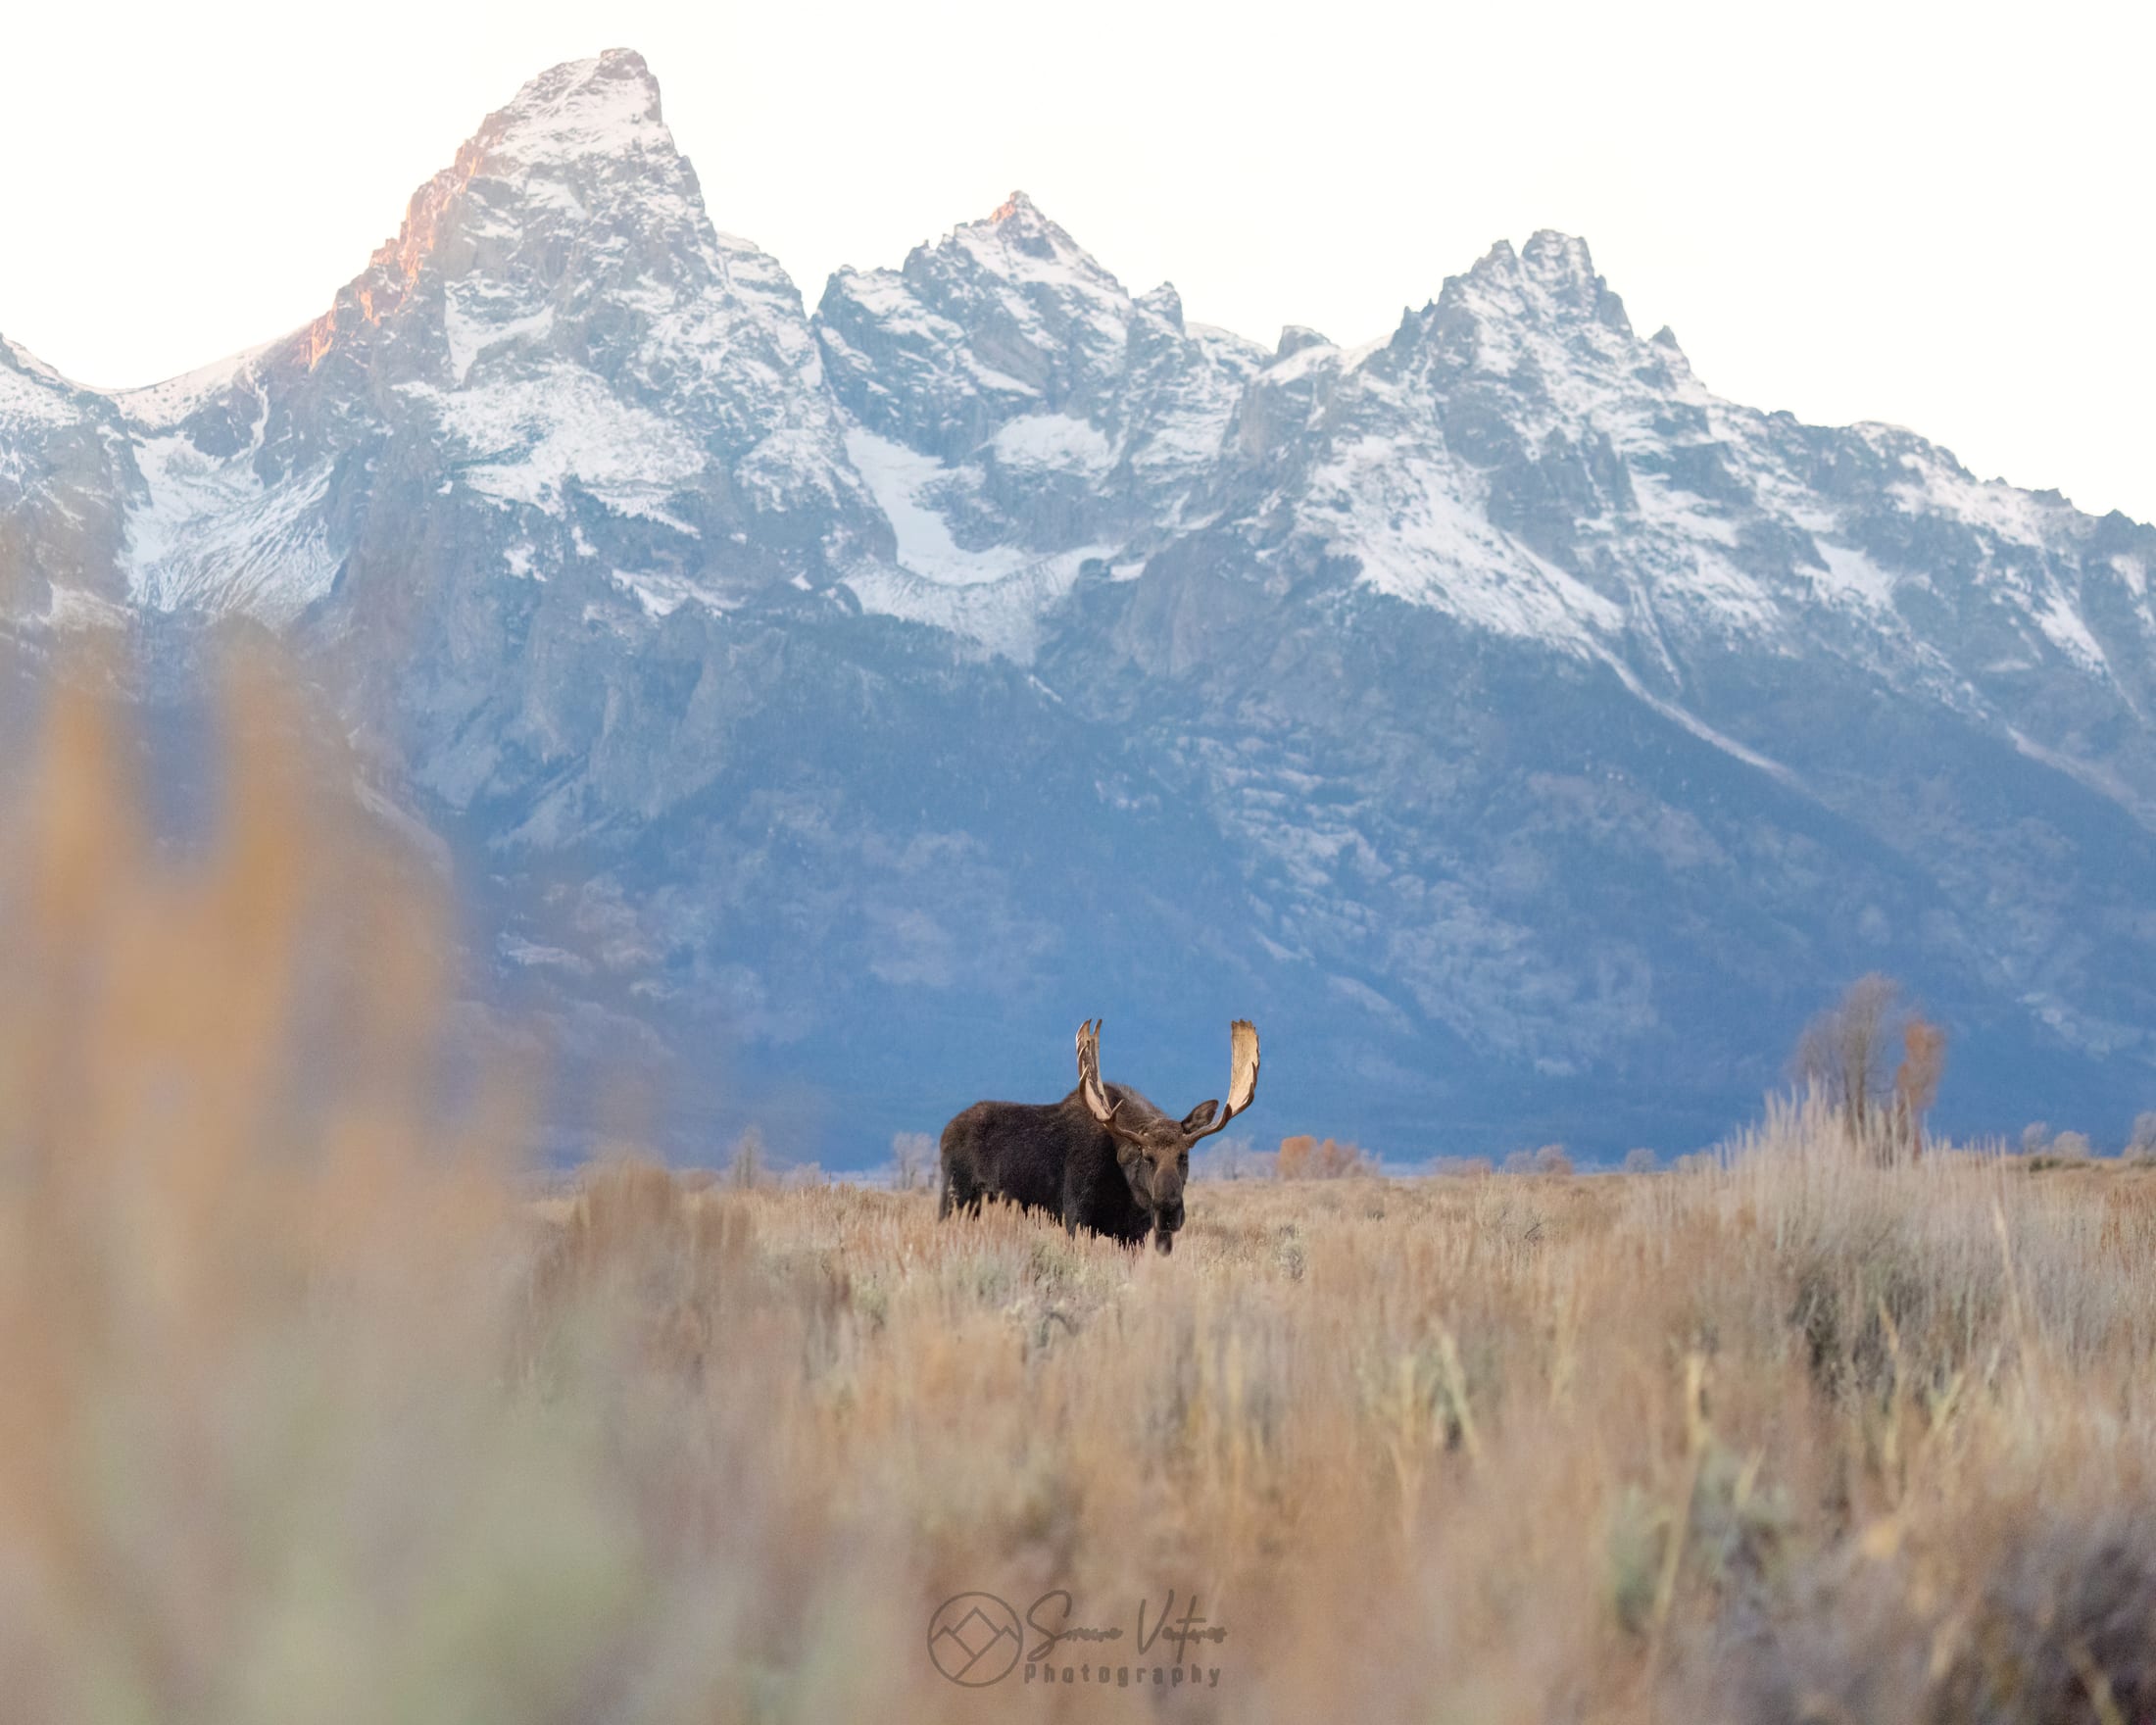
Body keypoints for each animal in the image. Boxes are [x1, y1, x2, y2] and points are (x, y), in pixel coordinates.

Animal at [937, 1019, 1260, 1255]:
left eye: (1184, 1155)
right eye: (1146, 1156)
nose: (1169, 1211)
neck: (1126, 1189)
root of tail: (944, 1133)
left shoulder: (1135, 1233)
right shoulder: (1075, 1216)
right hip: (955, 1198)